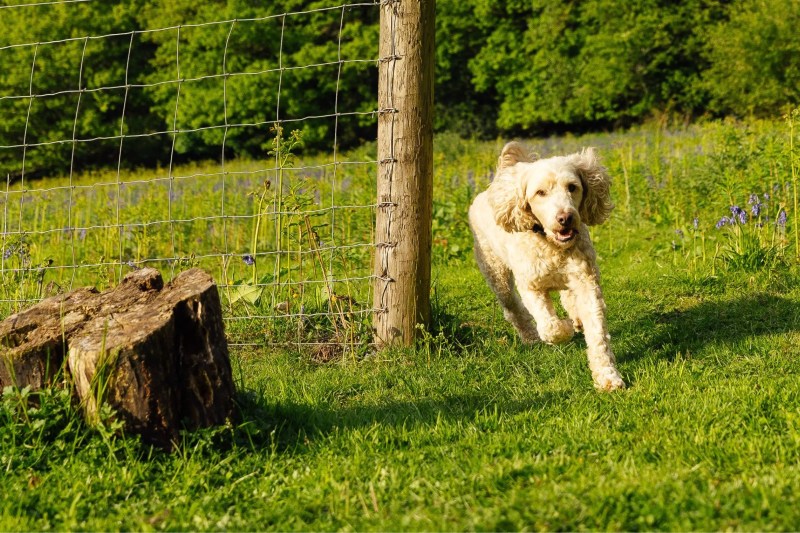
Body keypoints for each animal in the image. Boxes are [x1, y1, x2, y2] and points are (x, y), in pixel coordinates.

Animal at [468, 142, 624, 390]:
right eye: (540, 193)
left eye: (572, 187)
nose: (565, 218)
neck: (552, 246)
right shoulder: (530, 287)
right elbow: (551, 327)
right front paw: (564, 328)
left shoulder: (587, 282)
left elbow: (598, 334)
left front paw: (607, 376)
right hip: (496, 273)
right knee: (513, 309)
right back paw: (532, 337)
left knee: (567, 297)